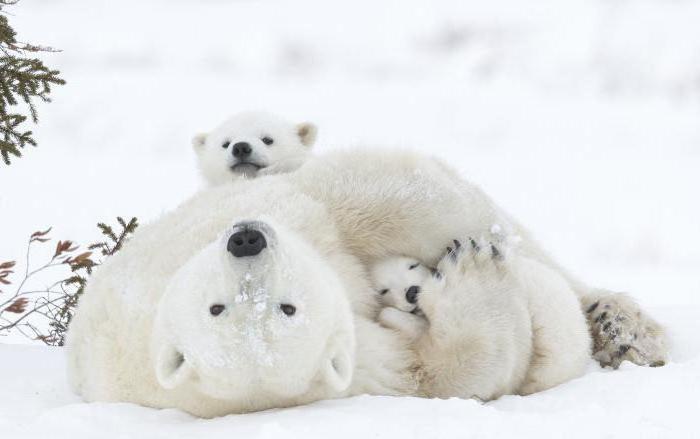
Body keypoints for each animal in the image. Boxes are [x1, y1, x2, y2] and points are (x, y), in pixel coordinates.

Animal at [65, 149, 668, 420]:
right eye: (221, 309)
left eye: (283, 305)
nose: (247, 240)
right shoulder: (357, 369)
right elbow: (444, 372)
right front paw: (471, 271)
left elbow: (370, 199)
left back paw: (624, 327)